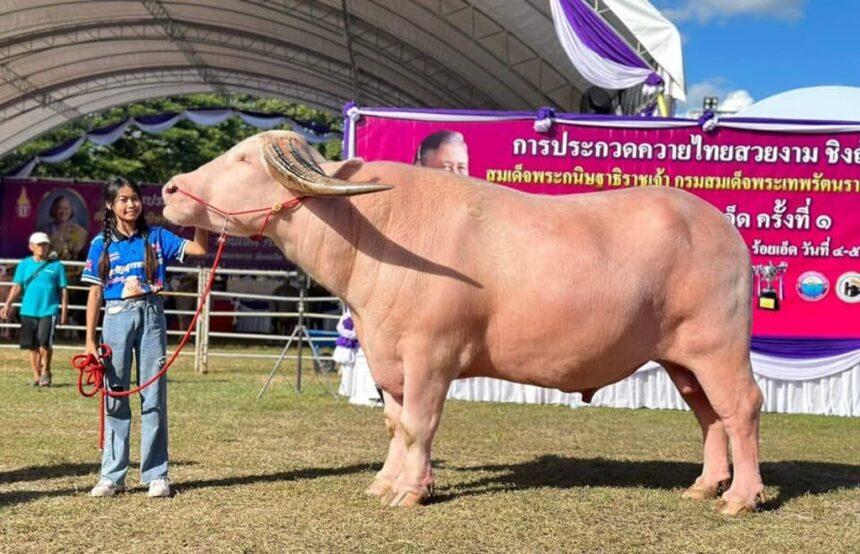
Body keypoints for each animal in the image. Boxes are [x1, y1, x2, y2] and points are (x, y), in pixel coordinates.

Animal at [163, 130, 764, 512]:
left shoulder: (432, 355)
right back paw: (705, 486)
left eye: (243, 160)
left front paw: (411, 491)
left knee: (741, 408)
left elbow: (418, 424)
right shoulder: (386, 358)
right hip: (682, 360)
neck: (371, 233)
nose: (169, 189)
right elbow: (394, 423)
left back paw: (740, 497)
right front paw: (384, 482)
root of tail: (726, 230)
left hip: (720, 349)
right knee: (709, 417)